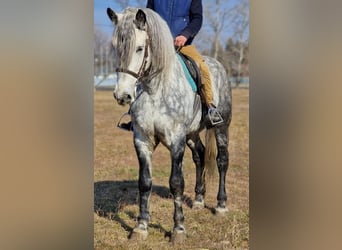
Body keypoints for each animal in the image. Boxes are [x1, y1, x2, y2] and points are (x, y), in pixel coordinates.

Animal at [105, 7, 231, 242]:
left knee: (222, 162)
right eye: (116, 47)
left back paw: (220, 205)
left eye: (140, 48)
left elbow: (176, 183)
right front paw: (141, 226)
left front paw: (178, 228)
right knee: (200, 156)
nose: (123, 95)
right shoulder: (142, 140)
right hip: (192, 134)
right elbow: (144, 182)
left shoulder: (176, 141)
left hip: (221, 128)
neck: (155, 90)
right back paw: (199, 200)